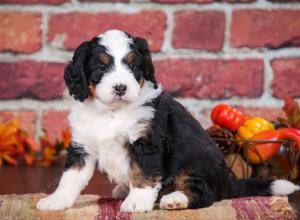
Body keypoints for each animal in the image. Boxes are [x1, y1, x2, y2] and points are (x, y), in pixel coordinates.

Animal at [36, 29, 298, 213]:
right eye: (101, 68)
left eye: (133, 65)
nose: (120, 87)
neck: (112, 112)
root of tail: (229, 182)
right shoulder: (83, 145)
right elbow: (70, 178)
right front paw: (55, 201)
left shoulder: (149, 142)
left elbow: (143, 175)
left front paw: (137, 202)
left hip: (196, 161)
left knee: (204, 193)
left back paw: (174, 199)